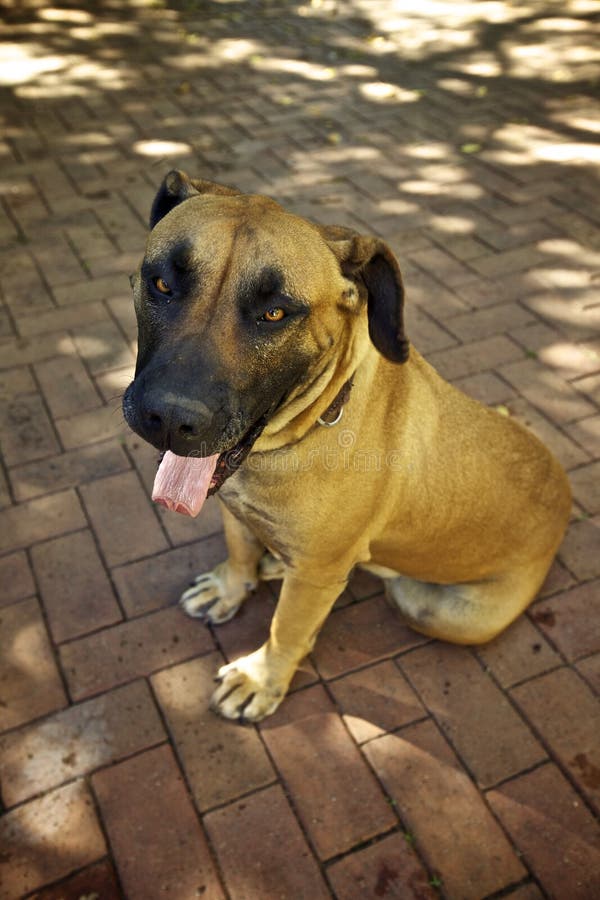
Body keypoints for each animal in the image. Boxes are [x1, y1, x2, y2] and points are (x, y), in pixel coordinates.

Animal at [123, 171, 572, 724]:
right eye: (162, 284)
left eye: (275, 313)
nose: (168, 418)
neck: (305, 425)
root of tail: (567, 499)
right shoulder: (233, 507)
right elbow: (239, 547)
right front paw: (232, 585)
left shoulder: (316, 574)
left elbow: (287, 628)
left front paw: (261, 679)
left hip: (437, 608)